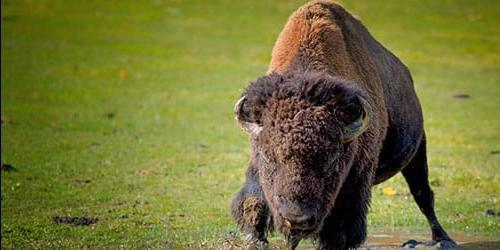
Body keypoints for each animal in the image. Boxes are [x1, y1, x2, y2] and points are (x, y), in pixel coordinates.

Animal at [230, 0, 458, 249]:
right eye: (268, 158)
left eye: (332, 163)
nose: (297, 219)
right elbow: (253, 200)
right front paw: (254, 239)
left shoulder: (356, 180)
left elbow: (342, 227)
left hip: (417, 152)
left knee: (423, 195)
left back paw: (443, 239)